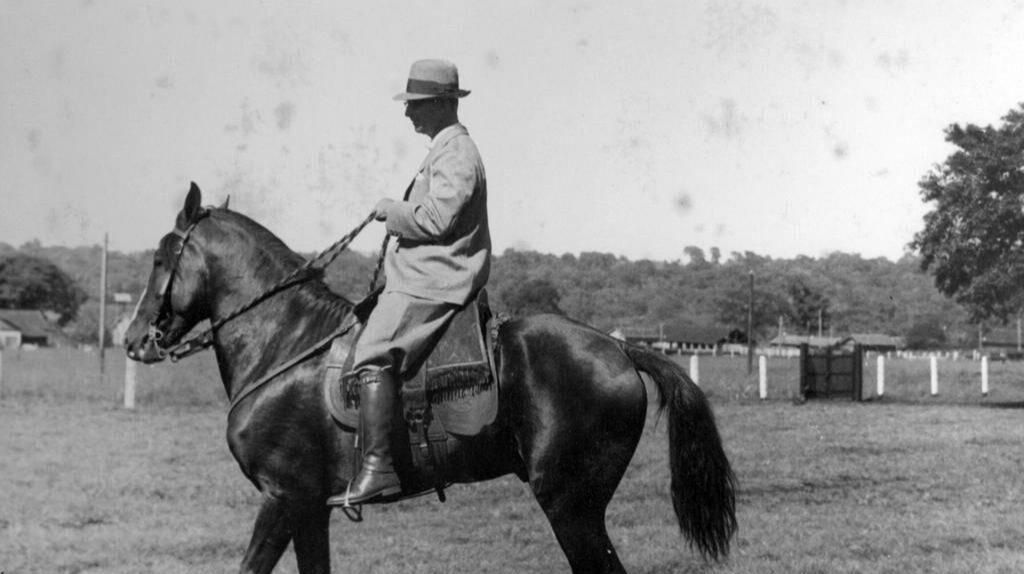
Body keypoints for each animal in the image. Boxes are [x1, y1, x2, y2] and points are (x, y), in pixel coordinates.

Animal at [123, 184, 737, 572]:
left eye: (160, 258)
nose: (132, 339)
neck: (287, 343)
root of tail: (618, 347)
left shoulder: (283, 498)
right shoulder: (308, 509)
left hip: (572, 508)